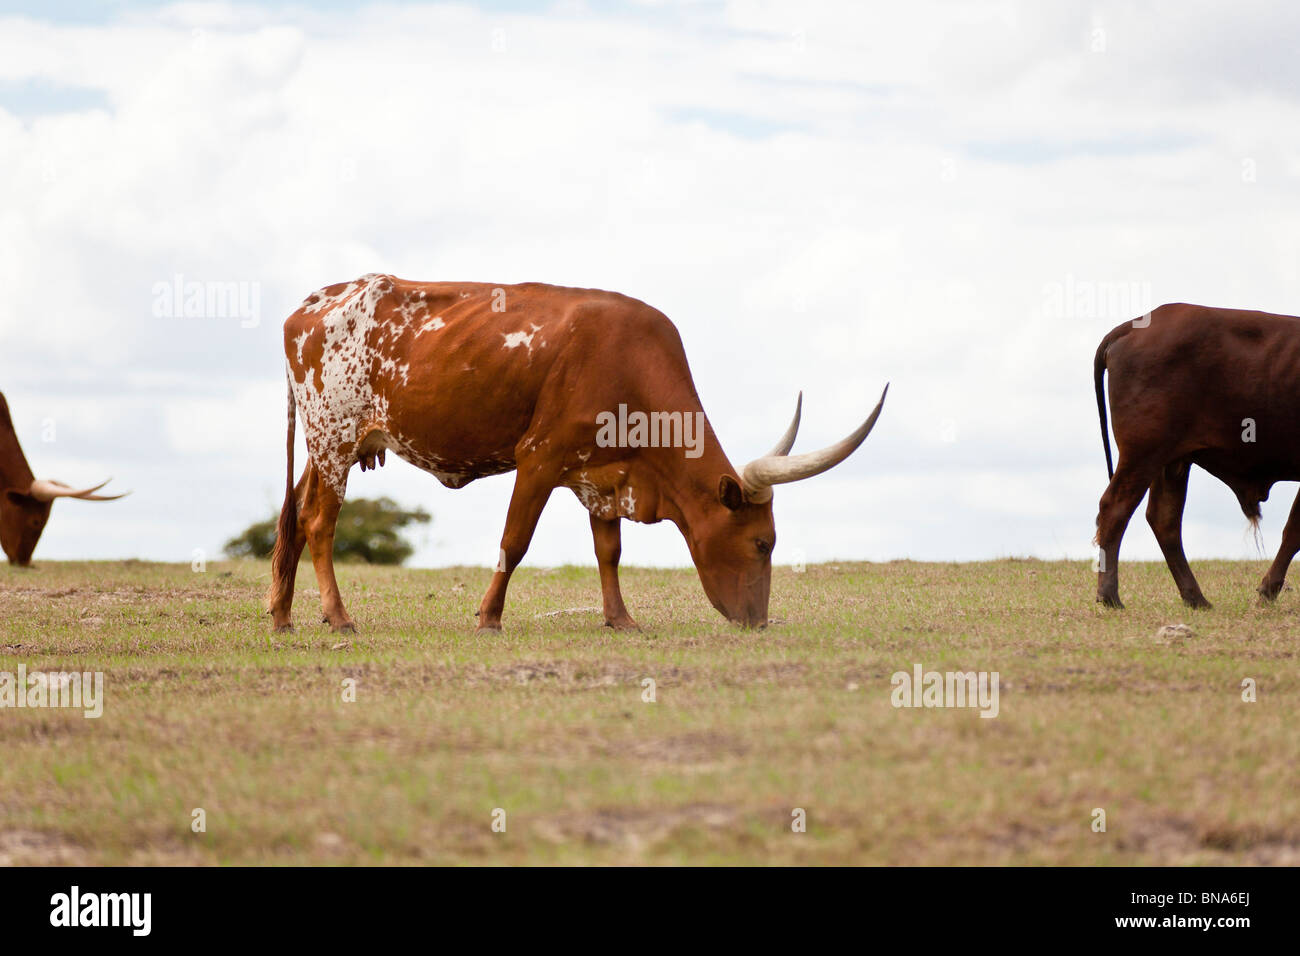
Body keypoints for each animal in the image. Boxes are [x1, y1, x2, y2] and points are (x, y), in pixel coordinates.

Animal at [267, 274, 887, 633]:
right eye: (762, 543)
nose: (758, 623)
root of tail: (308, 306)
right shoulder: (539, 457)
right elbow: (515, 541)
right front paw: (489, 617)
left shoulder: (602, 474)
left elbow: (608, 550)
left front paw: (621, 619)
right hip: (334, 437)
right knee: (321, 522)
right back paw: (338, 618)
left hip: (329, 447)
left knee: (296, 516)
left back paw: (282, 615)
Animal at [1094, 302, 1300, 609]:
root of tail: (1135, 325)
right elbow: (1294, 530)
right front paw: (1267, 591)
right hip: (1142, 455)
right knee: (1114, 509)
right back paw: (1109, 596)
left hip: (1171, 462)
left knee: (1164, 519)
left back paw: (1195, 597)